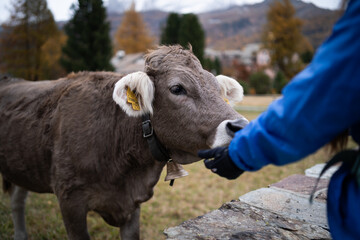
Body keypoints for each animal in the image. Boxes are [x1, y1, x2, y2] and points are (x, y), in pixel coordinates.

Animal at [0, 44, 248, 238]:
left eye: (218, 89)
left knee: (18, 199)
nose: (241, 126)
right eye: (177, 88)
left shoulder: (132, 205)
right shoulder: (69, 199)